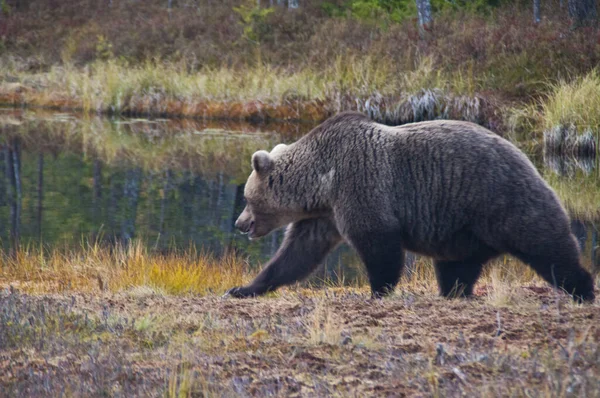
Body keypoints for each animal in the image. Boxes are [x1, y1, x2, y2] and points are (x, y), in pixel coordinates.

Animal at [226, 112, 596, 302]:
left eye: (247, 198)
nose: (240, 224)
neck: (322, 181)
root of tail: (529, 157)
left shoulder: (360, 187)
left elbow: (379, 244)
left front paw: (378, 290)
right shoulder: (325, 214)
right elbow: (296, 255)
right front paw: (244, 288)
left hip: (500, 198)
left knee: (545, 243)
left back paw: (582, 288)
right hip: (461, 230)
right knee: (457, 266)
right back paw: (454, 292)